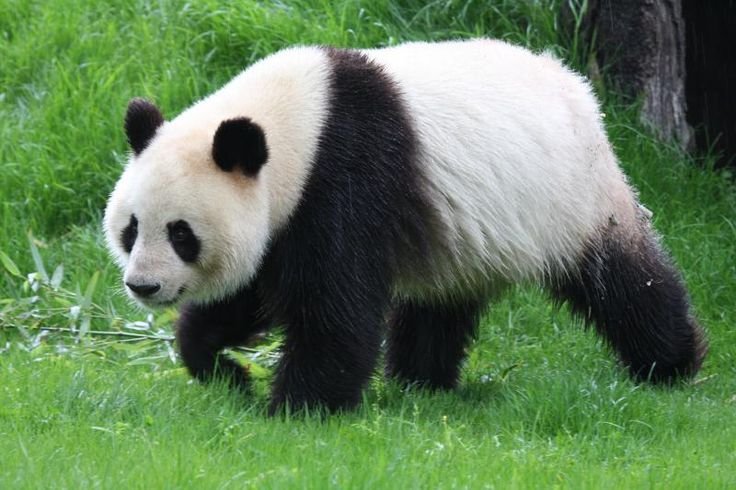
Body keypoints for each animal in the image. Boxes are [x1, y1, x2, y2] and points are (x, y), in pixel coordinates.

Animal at [104, 39, 707, 413]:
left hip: (569, 198)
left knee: (622, 280)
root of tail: (576, 85)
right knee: (441, 302)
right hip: (465, 231)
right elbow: (254, 291)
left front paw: (297, 409)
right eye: (132, 229)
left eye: (181, 234)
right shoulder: (288, 210)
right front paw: (225, 370)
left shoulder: (346, 172)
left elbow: (333, 303)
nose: (144, 286)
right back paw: (422, 381)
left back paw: (670, 363)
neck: (297, 122)